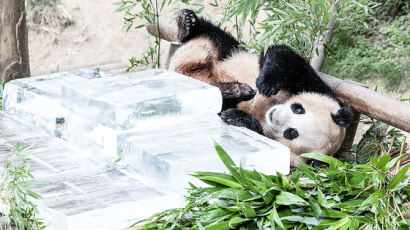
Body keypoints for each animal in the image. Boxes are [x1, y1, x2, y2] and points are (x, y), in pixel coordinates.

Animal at [168, 8, 354, 164]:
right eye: (298, 109)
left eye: (291, 133)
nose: (275, 116)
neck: (268, 108)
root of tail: (179, 69)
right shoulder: (317, 87)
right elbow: (282, 55)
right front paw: (266, 84)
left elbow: (252, 130)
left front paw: (236, 117)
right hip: (224, 51)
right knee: (214, 36)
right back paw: (187, 23)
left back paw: (236, 90)